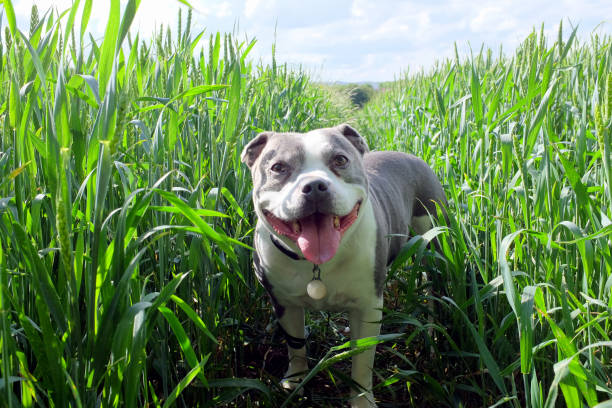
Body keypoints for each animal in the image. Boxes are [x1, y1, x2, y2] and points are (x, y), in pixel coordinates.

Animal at [239, 124, 444, 408]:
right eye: (278, 167)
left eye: (340, 160)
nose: (314, 185)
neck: (317, 266)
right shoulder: (284, 303)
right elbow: (296, 344)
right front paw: (296, 380)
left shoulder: (367, 307)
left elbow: (363, 358)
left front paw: (362, 400)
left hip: (432, 240)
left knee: (433, 288)